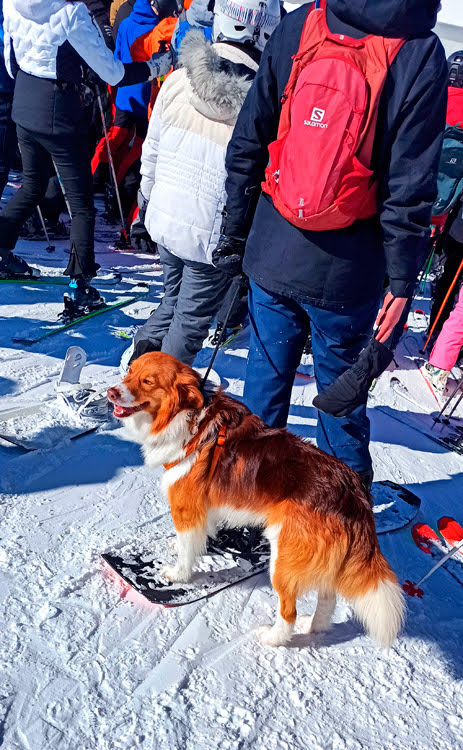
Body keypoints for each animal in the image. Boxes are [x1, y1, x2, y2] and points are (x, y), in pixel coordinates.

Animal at [107, 352, 404, 648]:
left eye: (148, 381)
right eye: (130, 371)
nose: (111, 392)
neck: (187, 417)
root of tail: (352, 491)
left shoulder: (186, 506)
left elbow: (187, 550)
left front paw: (178, 574)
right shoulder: (204, 507)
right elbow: (196, 537)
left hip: (282, 560)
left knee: (289, 611)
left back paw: (273, 638)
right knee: (327, 599)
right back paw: (312, 627)